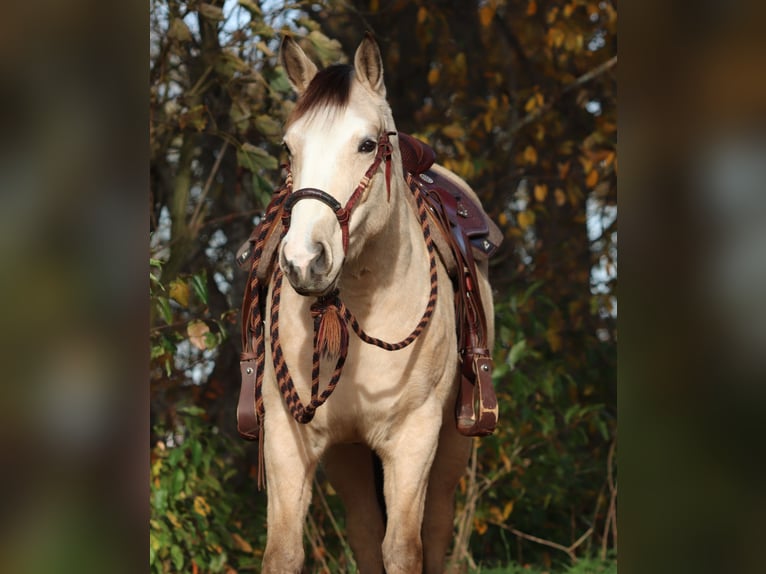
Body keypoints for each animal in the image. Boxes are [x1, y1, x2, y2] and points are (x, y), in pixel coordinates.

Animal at [247, 34, 496, 573]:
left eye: (365, 145)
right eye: (288, 147)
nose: (304, 261)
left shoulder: (413, 439)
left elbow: (404, 549)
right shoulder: (288, 438)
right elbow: (284, 552)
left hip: (450, 450)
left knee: (435, 531)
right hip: (349, 458)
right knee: (364, 532)